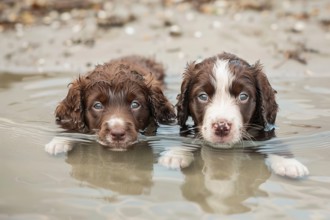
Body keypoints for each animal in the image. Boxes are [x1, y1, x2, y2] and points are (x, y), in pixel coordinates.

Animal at [160, 52, 310, 179]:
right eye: (202, 96)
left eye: (243, 96)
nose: (221, 127)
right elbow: (186, 136)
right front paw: (175, 154)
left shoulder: (266, 127)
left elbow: (273, 141)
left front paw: (289, 163)